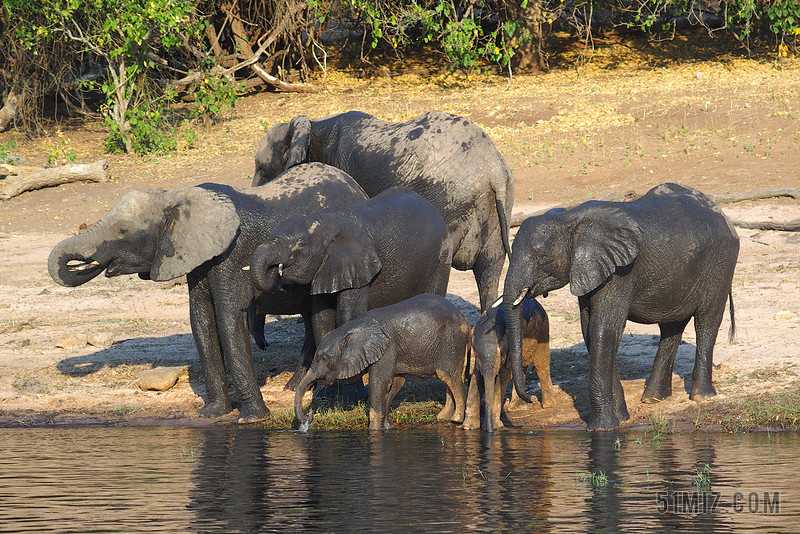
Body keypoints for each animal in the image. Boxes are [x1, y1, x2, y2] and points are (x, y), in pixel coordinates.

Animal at [51, 165, 370, 426]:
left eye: (122, 231)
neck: (176, 196)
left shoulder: (232, 254)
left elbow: (229, 317)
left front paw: (251, 419)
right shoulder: (198, 259)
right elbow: (200, 319)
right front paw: (212, 414)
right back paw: (294, 386)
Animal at [252, 111, 512, 312]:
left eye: (261, 168)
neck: (311, 124)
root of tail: (494, 167)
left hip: (447, 199)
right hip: (500, 206)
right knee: (489, 271)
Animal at [292, 296, 468, 434]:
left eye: (323, 358)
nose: (308, 419)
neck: (352, 328)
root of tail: (464, 317)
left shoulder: (387, 349)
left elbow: (380, 383)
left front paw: (375, 431)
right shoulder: (394, 351)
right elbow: (395, 383)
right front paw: (388, 427)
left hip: (452, 343)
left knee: (450, 376)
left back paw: (456, 420)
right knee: (447, 379)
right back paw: (443, 417)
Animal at [460, 300, 552, 434]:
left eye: (502, 354)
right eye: (476, 354)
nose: (532, 399)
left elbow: (503, 379)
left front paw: (495, 426)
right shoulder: (479, 361)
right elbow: (477, 379)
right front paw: (469, 427)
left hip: (543, 330)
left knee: (541, 365)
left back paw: (548, 405)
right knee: (522, 367)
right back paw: (518, 407)